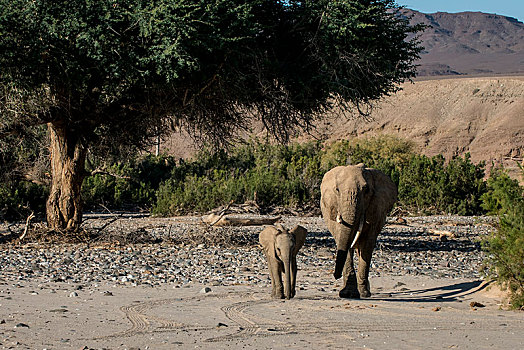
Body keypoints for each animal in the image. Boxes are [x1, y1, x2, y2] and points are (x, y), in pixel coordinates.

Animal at [320, 164, 398, 298]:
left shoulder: (376, 210)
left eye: (366, 190)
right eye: (337, 190)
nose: (336, 275)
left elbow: (367, 245)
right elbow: (344, 242)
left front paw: (364, 293)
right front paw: (348, 294)